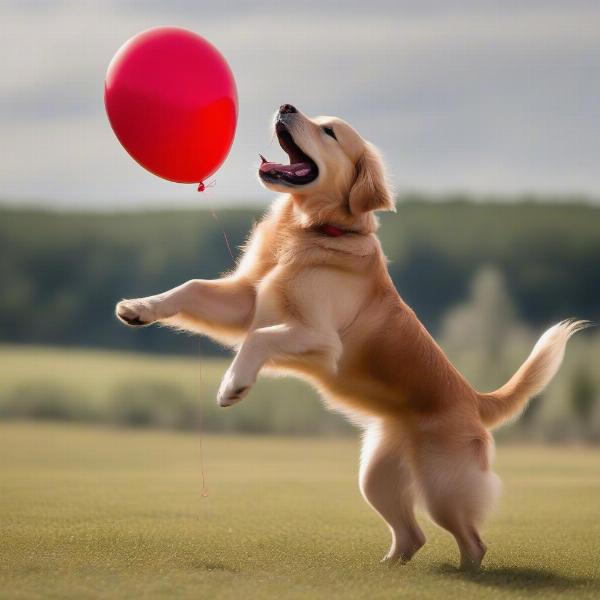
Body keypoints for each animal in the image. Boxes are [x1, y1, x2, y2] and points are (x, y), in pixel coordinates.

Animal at [116, 104, 584, 572]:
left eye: (329, 132)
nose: (285, 106)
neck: (310, 229)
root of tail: (475, 400)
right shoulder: (247, 302)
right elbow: (192, 288)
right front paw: (139, 308)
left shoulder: (319, 340)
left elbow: (259, 340)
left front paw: (233, 384)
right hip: (374, 478)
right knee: (412, 535)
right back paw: (387, 569)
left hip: (442, 490)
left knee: (472, 542)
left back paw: (465, 574)